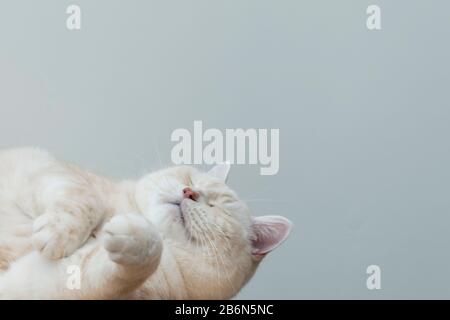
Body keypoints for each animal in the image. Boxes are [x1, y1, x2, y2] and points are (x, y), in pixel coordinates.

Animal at [0, 148, 292, 300]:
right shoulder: (40, 164)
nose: (189, 192)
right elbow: (86, 199)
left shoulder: (44, 285)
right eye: (191, 180)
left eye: (217, 207)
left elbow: (142, 259)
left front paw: (137, 238)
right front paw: (59, 231)